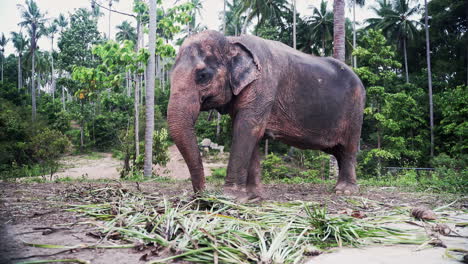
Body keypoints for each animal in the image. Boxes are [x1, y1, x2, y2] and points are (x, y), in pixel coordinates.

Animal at [167, 30, 366, 200]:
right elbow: (250, 131)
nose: (201, 196)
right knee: (338, 151)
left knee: (348, 148)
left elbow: (247, 127)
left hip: (356, 110)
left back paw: (345, 191)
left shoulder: (263, 85)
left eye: (203, 75)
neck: (232, 40)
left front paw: (231, 197)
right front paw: (253, 196)